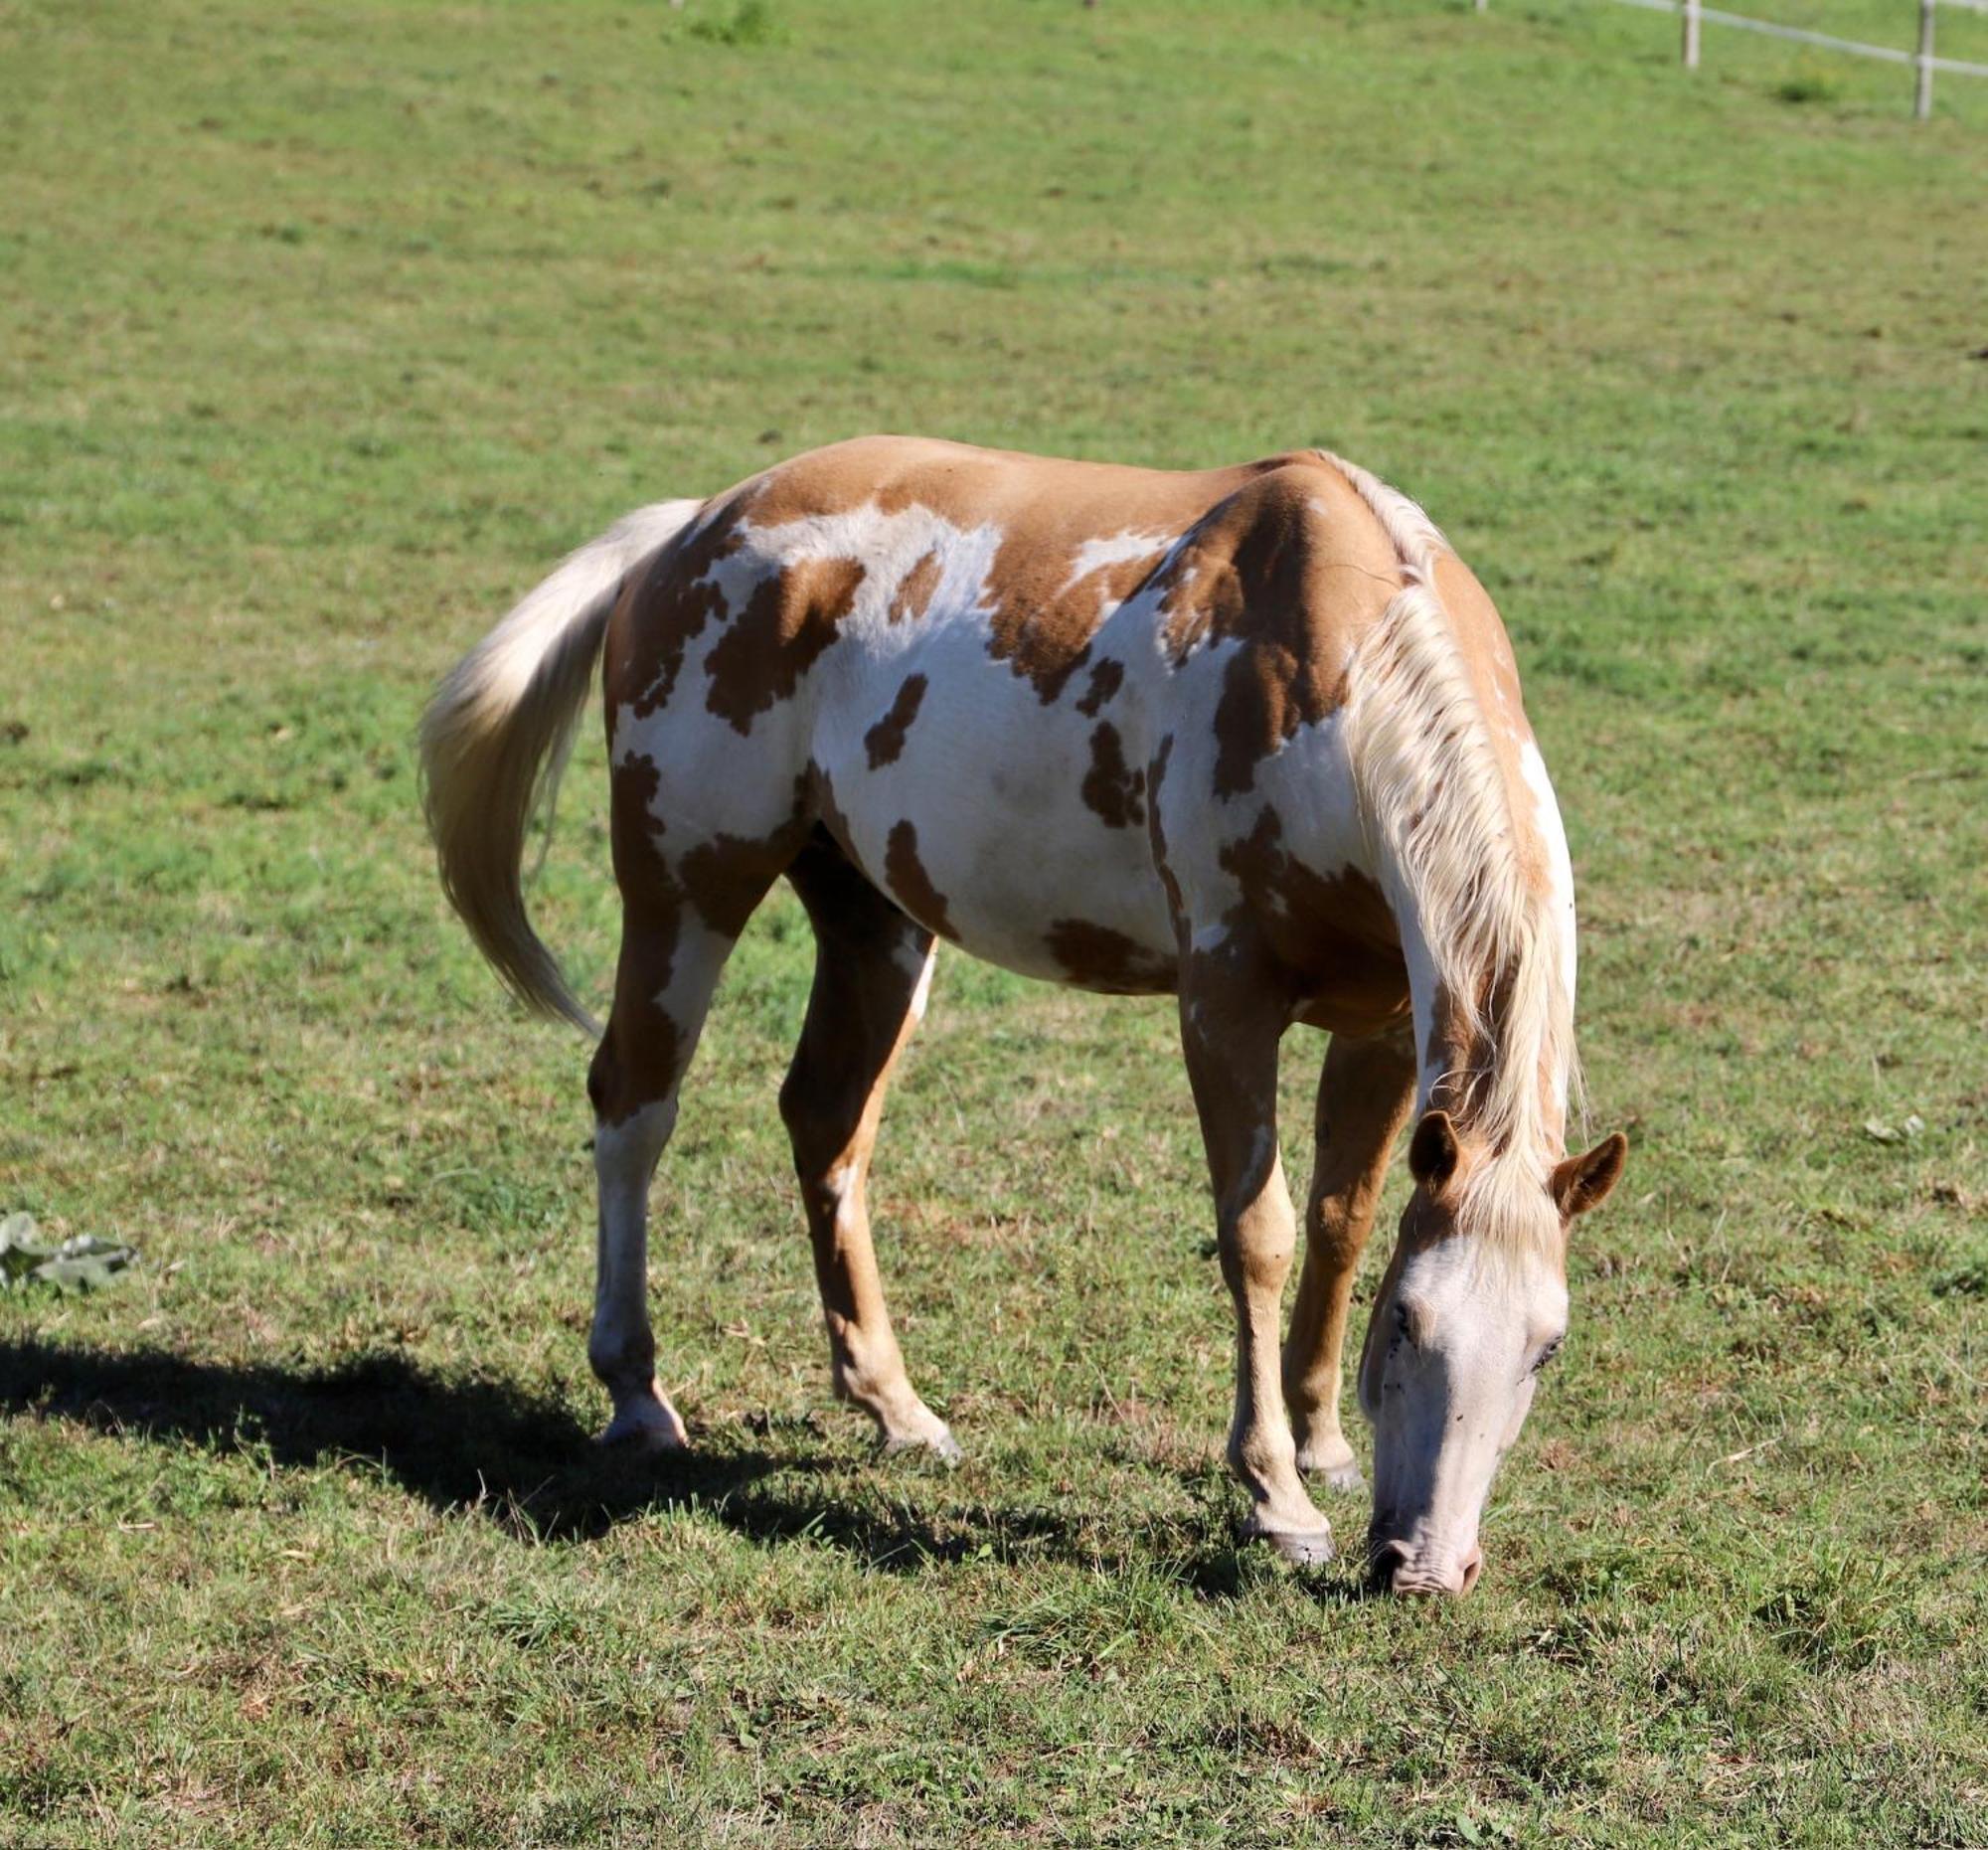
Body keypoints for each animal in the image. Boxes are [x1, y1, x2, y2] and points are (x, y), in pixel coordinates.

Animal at [423, 433, 1630, 1583]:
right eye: (1411, 1326)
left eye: (1547, 1347)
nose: (1422, 1568)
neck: (1340, 673)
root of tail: (691, 529)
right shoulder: (1225, 1001)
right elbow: (1260, 1235)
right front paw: (1276, 1497)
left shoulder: (1381, 1020)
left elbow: (1341, 1221)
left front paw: (1323, 1441)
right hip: (687, 887)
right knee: (635, 1104)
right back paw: (637, 1393)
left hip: (874, 922)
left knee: (825, 1119)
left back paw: (895, 1407)